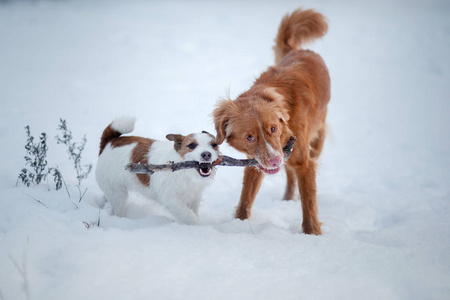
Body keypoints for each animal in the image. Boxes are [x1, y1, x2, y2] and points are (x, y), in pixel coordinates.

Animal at [213, 8, 328, 234]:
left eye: (273, 128)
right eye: (249, 137)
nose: (275, 161)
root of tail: (301, 50)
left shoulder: (304, 161)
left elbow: (309, 203)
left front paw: (312, 234)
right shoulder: (255, 162)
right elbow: (245, 199)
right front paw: (239, 224)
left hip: (316, 140)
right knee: (290, 176)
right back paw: (287, 199)